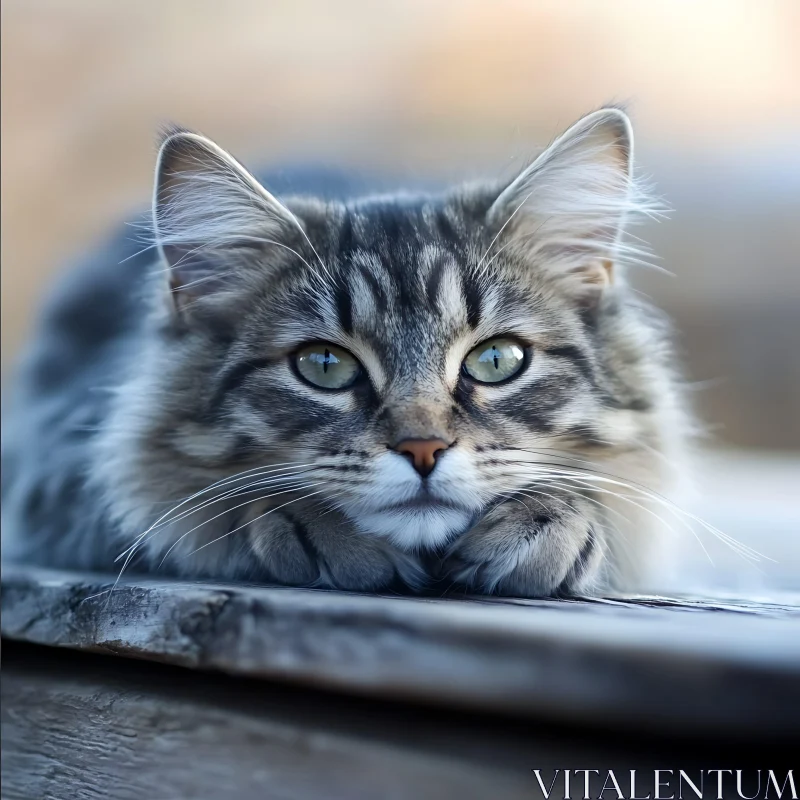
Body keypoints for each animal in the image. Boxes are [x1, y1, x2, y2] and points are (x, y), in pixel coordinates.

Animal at [0, 108, 688, 592]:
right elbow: (213, 503)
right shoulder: (63, 462)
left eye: (496, 361)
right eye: (324, 367)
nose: (423, 450)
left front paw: (549, 524)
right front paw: (313, 529)